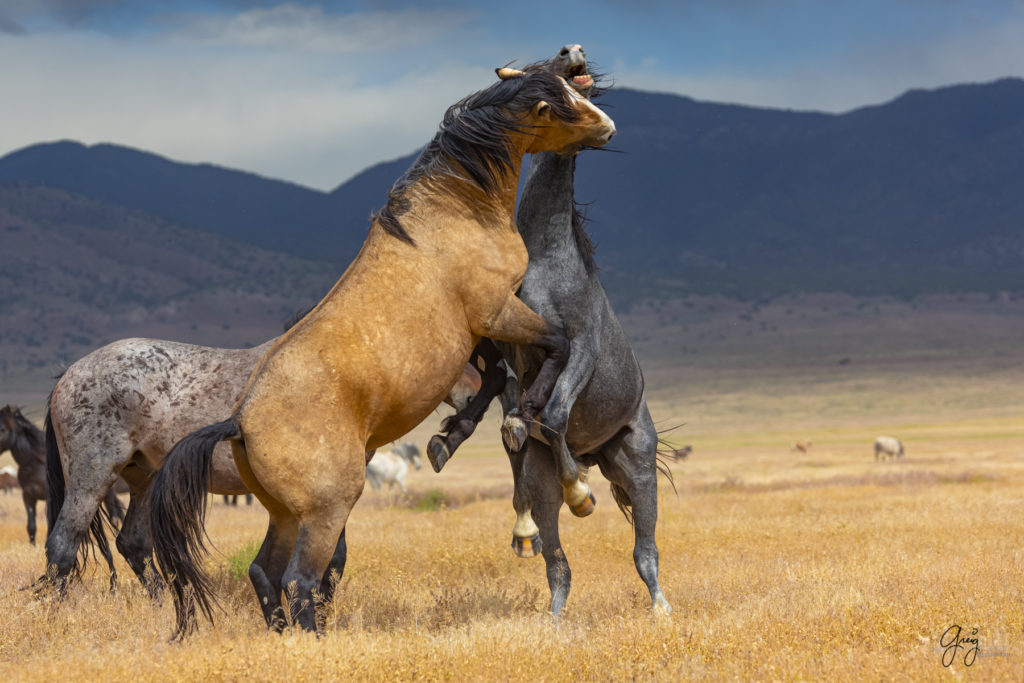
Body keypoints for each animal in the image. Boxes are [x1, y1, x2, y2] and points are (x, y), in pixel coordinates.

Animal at [0, 403, 121, 548]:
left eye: (3, 428)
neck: (34, 463)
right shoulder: (28, 495)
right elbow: (31, 525)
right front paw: (32, 546)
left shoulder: (48, 496)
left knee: (113, 515)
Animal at [423, 45, 671, 618]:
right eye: (549, 72)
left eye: (577, 86)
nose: (571, 50)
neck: (545, 259)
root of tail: (599, 453)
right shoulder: (503, 342)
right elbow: (505, 395)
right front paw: (452, 437)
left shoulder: (580, 350)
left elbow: (554, 412)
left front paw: (580, 492)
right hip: (545, 485)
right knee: (558, 564)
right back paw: (552, 618)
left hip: (638, 468)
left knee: (644, 551)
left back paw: (659, 607)